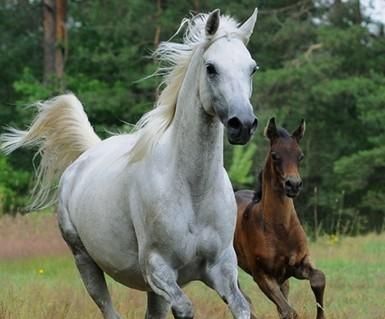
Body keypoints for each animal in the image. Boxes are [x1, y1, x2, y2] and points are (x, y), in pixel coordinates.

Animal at [2, 9, 258, 319]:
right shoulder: (158, 268)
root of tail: (86, 156)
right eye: (211, 68)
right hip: (85, 262)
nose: (242, 124)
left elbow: (242, 306)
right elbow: (185, 308)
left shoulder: (221, 268)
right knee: (108, 308)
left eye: (252, 68)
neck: (192, 189)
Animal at [232, 118, 326, 319]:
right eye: (275, 155)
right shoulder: (262, 275)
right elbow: (288, 311)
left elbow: (318, 279)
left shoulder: (297, 264)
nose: (293, 185)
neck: (280, 228)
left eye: (300, 156)